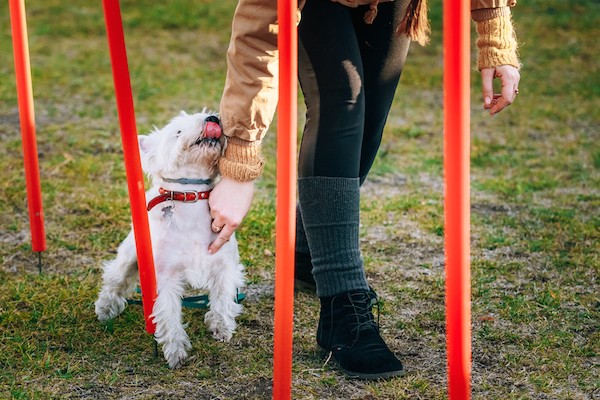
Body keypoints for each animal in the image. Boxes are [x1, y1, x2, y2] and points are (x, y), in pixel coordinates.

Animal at [94, 109, 244, 368]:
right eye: (178, 131)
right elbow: (169, 312)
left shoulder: (224, 265)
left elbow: (223, 296)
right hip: (129, 257)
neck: (192, 198)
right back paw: (105, 310)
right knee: (115, 279)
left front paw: (222, 327)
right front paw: (176, 351)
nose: (213, 119)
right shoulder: (165, 276)